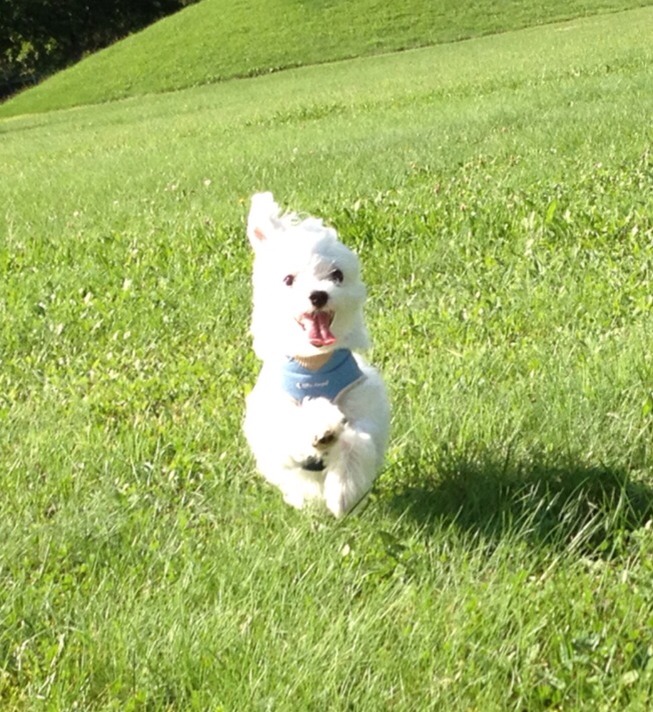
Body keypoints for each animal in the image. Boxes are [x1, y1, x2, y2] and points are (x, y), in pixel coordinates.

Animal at [243, 193, 388, 516]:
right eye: (288, 279)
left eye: (337, 275)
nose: (318, 295)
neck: (315, 364)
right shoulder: (275, 422)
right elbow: (296, 425)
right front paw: (321, 427)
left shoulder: (364, 406)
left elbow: (356, 440)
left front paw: (343, 492)